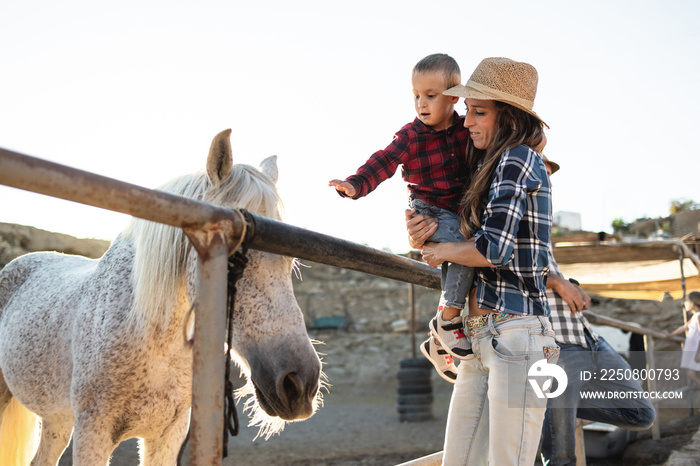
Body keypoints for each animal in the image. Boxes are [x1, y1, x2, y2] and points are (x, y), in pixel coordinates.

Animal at [0, 129, 322, 464]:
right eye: (232, 259)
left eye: (291, 260)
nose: (300, 383)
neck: (147, 335)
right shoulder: (92, 432)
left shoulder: (168, 435)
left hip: (58, 420)